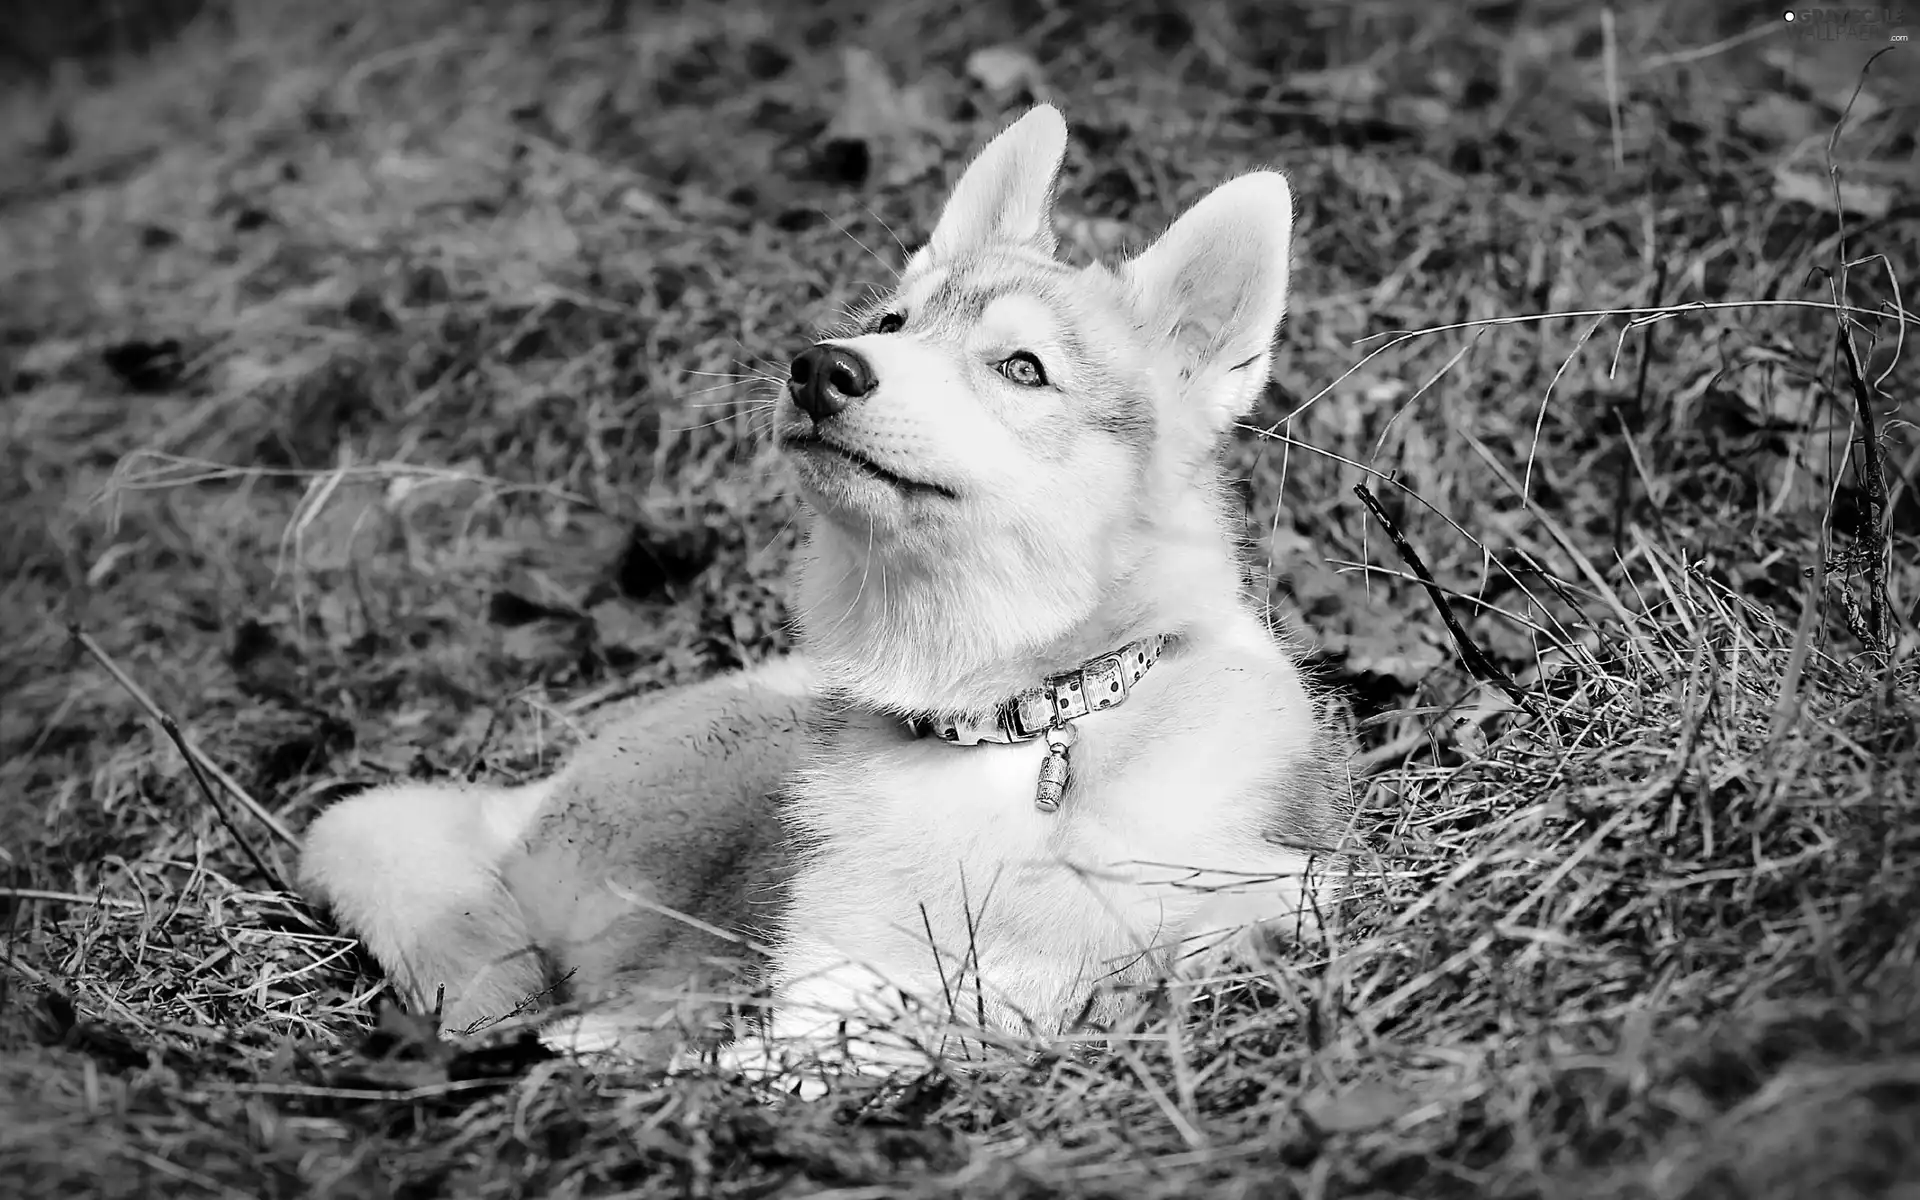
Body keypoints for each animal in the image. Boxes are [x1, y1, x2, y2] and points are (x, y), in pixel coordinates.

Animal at [295, 102, 1351, 1075]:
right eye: (891, 323)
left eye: (1022, 368)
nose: (820, 367)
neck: (1015, 724)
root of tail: (523, 797)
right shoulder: (823, 980)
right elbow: (806, 1043)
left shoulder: (1257, 894)